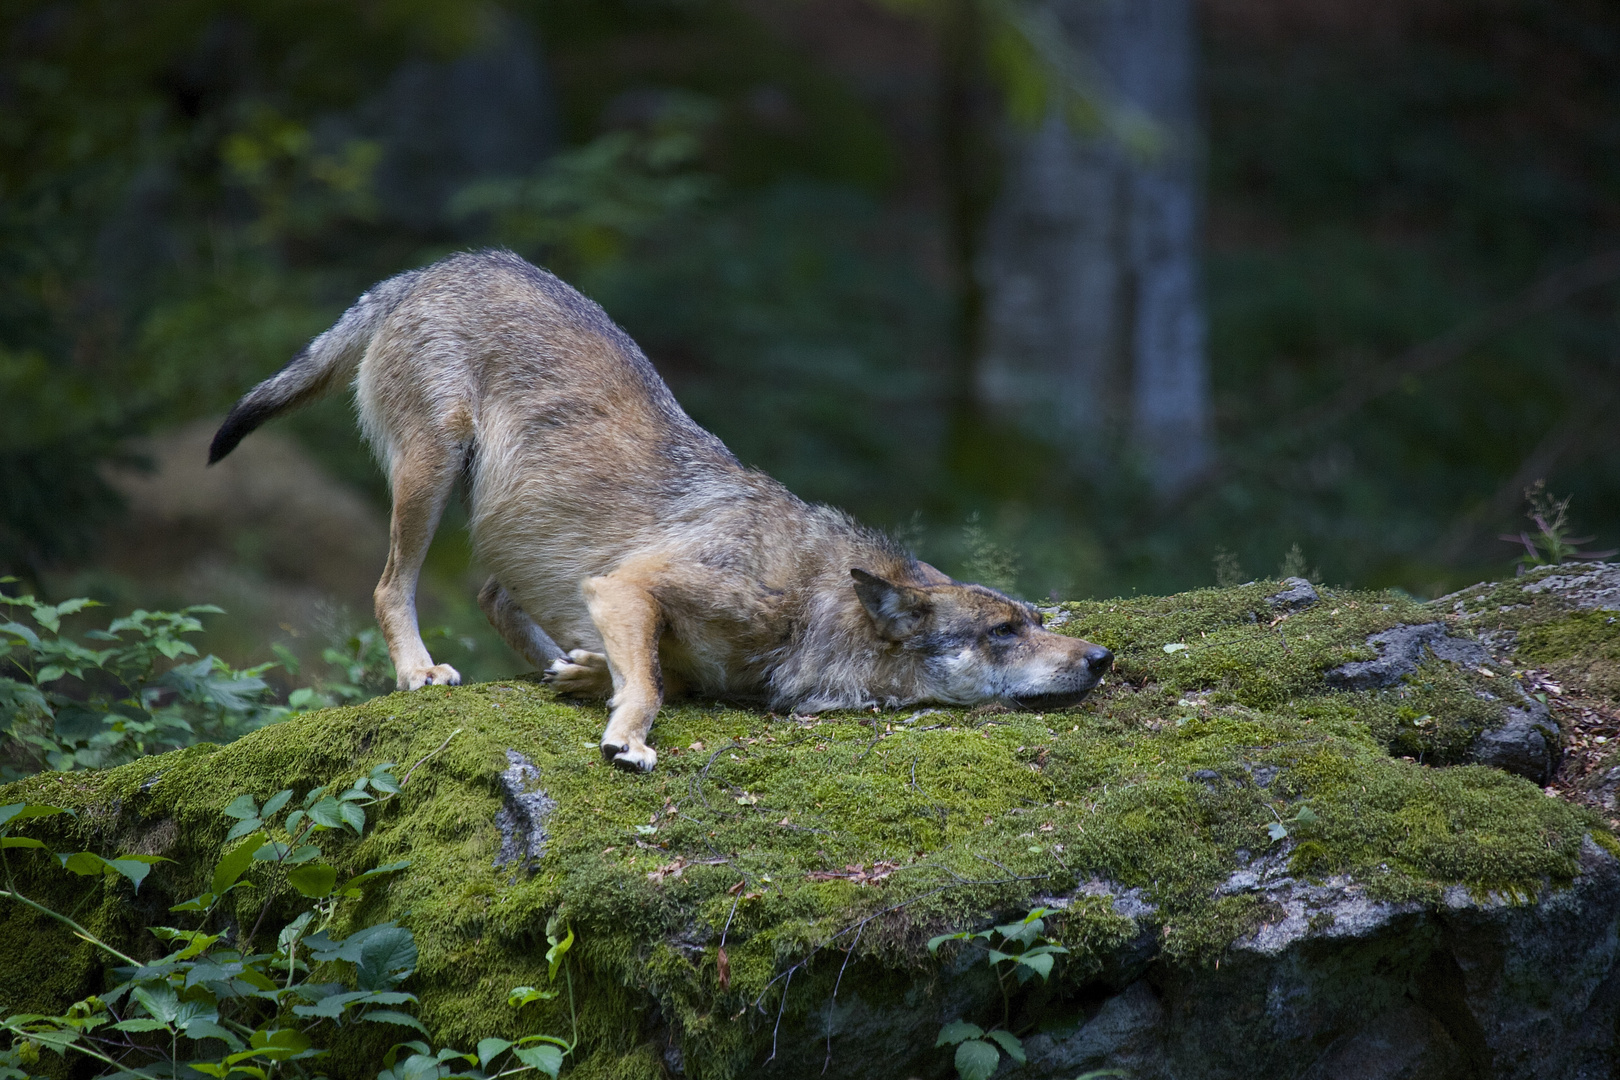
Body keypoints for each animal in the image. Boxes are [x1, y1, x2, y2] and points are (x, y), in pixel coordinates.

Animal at [208, 249, 1108, 773]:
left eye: (1036, 618)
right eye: (1003, 632)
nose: (1101, 656)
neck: (809, 601)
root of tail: (439, 265)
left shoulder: (625, 605)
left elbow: (641, 670)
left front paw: (584, 675)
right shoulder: (626, 587)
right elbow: (647, 687)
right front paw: (627, 732)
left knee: (492, 593)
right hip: (430, 478)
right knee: (391, 586)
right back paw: (419, 671)